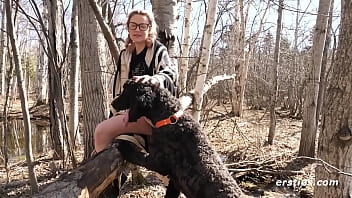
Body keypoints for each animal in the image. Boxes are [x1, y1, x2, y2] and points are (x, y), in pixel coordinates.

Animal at [111, 80, 243, 198]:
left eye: (125, 91)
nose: (112, 103)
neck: (169, 119)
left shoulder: (156, 162)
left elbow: (136, 155)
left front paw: (124, 146)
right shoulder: (174, 181)